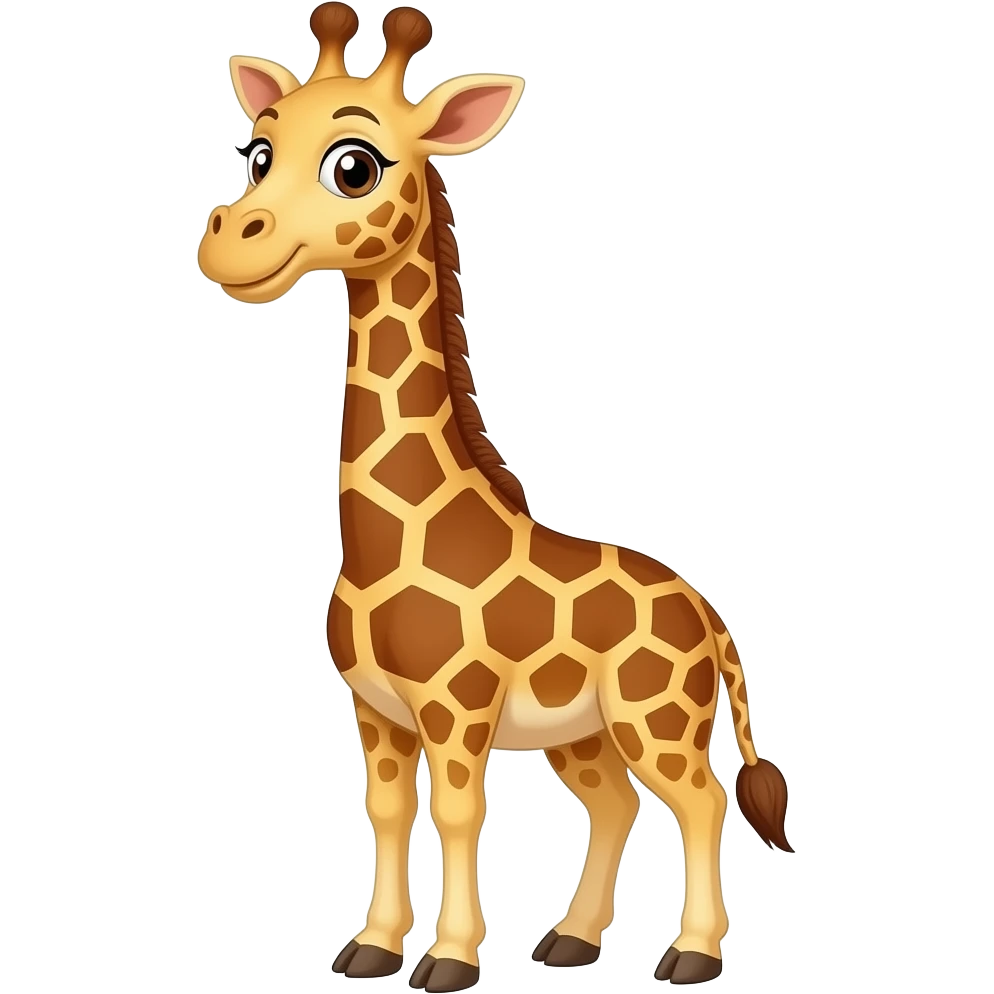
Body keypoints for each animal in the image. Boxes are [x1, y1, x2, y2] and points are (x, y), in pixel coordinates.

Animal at [197, 4, 796, 989]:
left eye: (354, 165)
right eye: (256, 153)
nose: (227, 243)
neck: (385, 542)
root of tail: (710, 616)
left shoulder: (457, 708)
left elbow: (459, 815)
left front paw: (447, 961)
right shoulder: (376, 713)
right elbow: (388, 813)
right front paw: (372, 948)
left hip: (658, 715)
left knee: (701, 801)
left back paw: (691, 955)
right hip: (583, 733)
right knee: (615, 805)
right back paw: (572, 940)